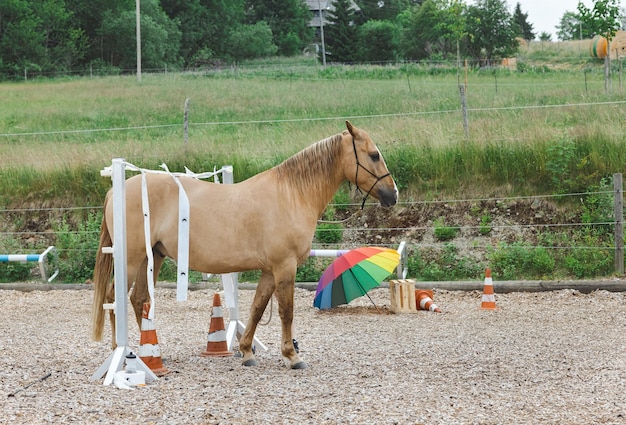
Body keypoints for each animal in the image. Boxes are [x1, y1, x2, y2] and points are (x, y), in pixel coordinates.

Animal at [91, 120, 398, 368]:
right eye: (374, 155)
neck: (292, 194)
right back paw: (121, 351)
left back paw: (152, 353)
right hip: (131, 259)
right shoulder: (284, 266)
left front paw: (247, 351)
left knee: (139, 298)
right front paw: (292, 356)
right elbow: (286, 311)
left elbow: (257, 308)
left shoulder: (269, 270)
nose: (392, 194)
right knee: (115, 297)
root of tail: (115, 190)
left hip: (153, 256)